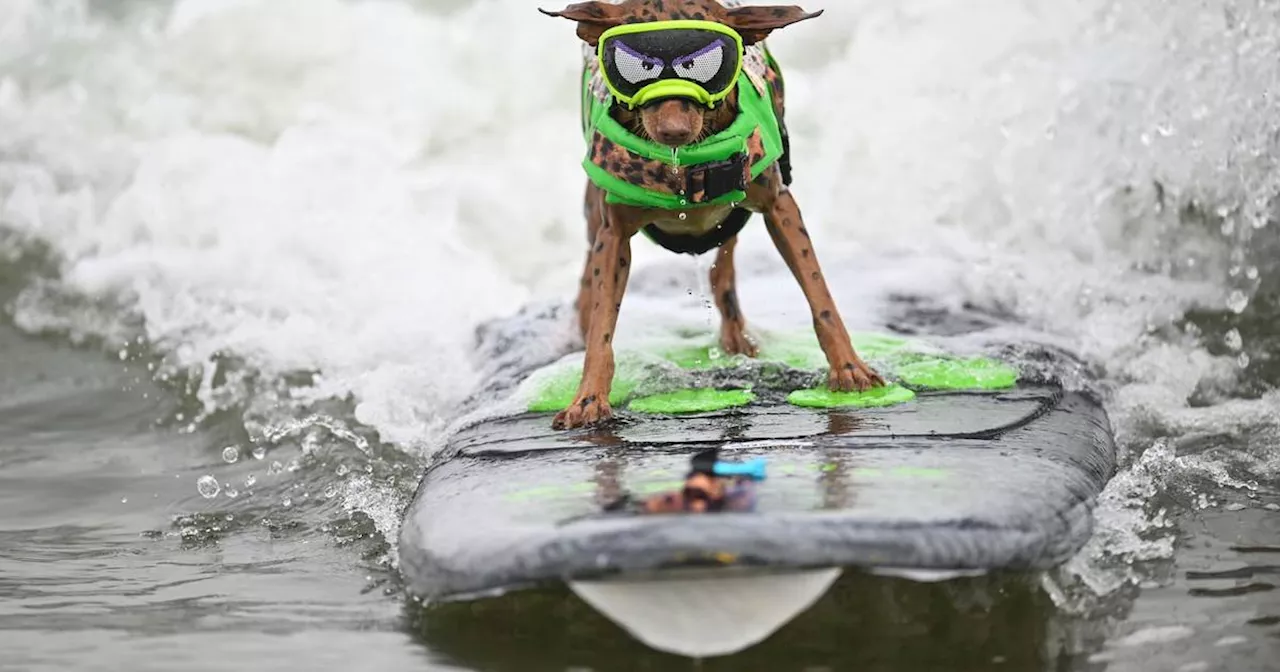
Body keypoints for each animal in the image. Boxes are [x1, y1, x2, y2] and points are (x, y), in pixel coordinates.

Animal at [537, 1, 880, 430]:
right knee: (589, 273)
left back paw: (735, 336)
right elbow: (602, 323)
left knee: (723, 270)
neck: (683, 165)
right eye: (637, 67)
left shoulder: (780, 206)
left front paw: (848, 367)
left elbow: (820, 296)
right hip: (593, 214)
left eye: (702, 64)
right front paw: (588, 397)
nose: (674, 131)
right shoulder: (613, 234)